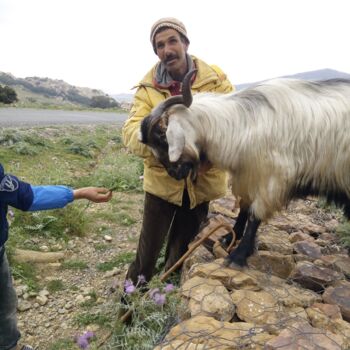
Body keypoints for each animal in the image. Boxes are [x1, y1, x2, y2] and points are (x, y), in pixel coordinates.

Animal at [139, 69, 350, 266]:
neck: (245, 123)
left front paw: (238, 255)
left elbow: (255, 214)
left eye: (163, 137)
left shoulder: (273, 179)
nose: (174, 174)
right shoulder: (248, 174)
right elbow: (244, 208)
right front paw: (229, 237)